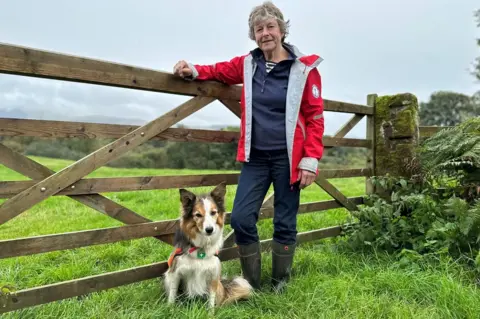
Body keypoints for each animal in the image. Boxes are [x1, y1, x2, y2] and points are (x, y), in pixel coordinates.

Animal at [163, 182, 251, 310]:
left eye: (213, 212)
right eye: (198, 215)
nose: (209, 230)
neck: (201, 247)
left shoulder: (213, 275)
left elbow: (211, 300)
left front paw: (211, 312)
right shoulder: (175, 273)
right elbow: (172, 296)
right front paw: (170, 309)